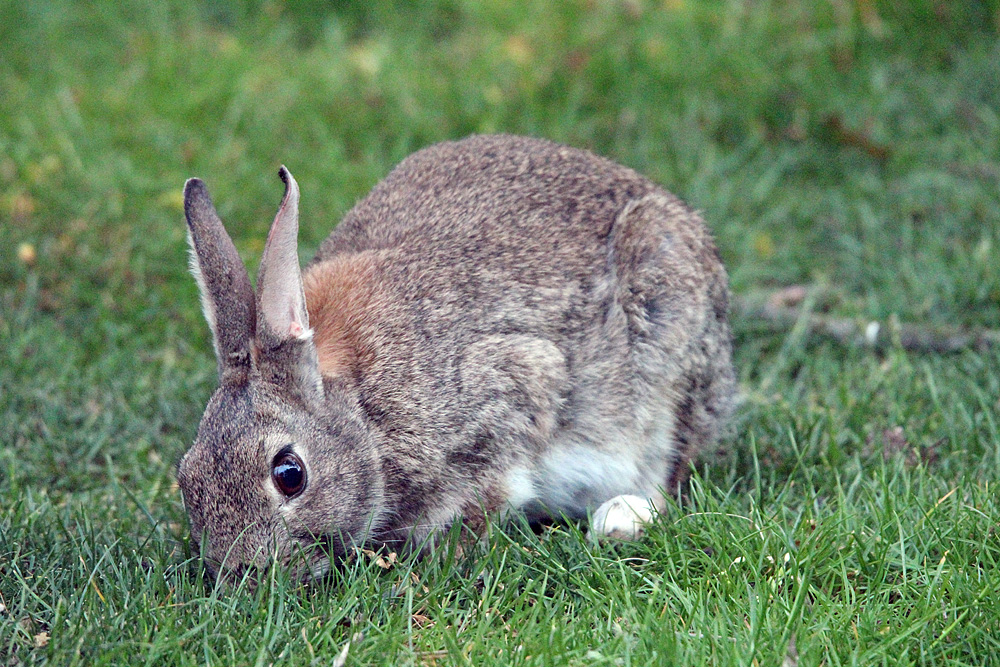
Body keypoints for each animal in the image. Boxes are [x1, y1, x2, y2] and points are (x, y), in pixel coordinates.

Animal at [178, 133, 736, 580]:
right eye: (186, 477)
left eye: (289, 474)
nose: (242, 572)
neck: (362, 411)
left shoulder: (512, 389)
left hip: (665, 349)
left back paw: (620, 518)